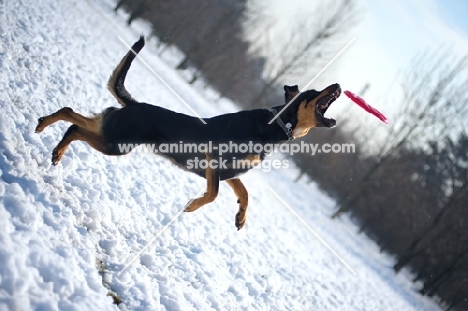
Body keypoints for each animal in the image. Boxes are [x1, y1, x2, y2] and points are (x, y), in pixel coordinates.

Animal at [34, 37, 338, 232]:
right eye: (314, 92)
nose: (337, 84)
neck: (276, 126)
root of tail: (133, 104)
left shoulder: (231, 171)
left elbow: (245, 192)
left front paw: (240, 217)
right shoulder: (214, 161)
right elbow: (213, 194)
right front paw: (192, 206)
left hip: (112, 131)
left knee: (72, 114)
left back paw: (45, 130)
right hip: (117, 143)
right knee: (75, 126)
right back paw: (55, 147)